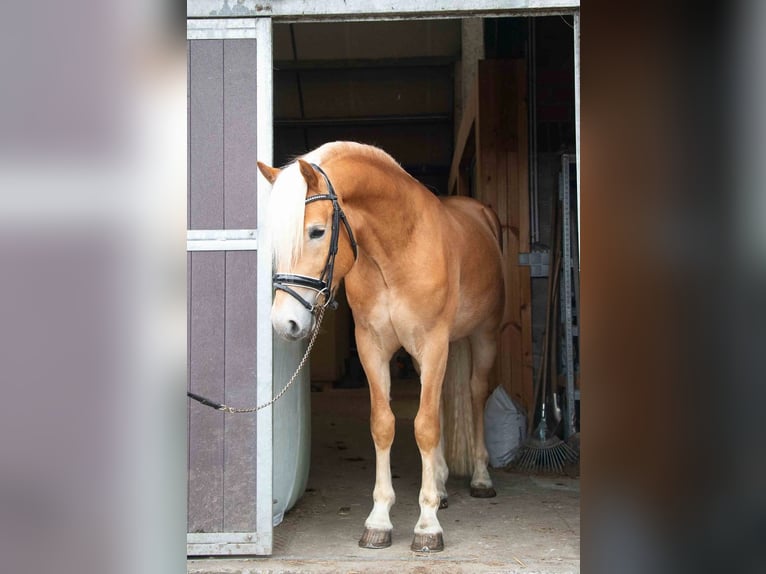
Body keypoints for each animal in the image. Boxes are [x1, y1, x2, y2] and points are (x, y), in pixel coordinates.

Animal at [260, 142, 508, 556]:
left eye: (316, 231)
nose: (285, 323)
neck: (398, 249)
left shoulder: (433, 343)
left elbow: (425, 426)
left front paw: (427, 526)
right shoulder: (372, 347)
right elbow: (384, 425)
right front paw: (378, 521)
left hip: (484, 337)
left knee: (475, 394)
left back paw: (480, 479)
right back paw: (441, 486)